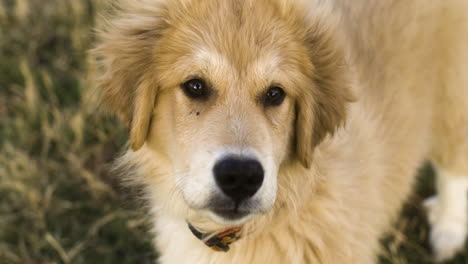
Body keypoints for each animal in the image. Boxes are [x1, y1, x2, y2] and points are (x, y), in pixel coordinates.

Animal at [92, 0, 468, 262]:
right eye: (195, 86)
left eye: (275, 94)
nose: (240, 177)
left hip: (451, 93)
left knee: (454, 163)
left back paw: (448, 230)